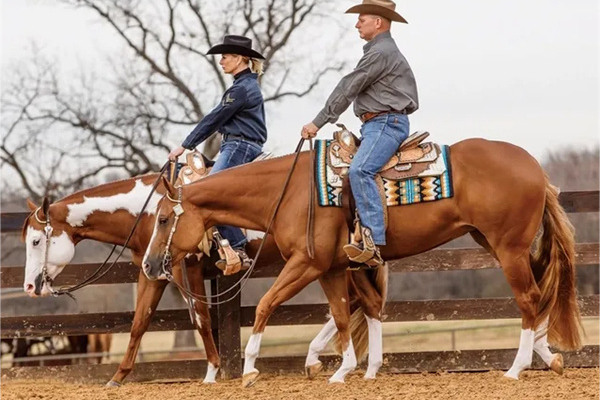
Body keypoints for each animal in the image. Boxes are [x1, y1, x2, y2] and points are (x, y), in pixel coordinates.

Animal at [21, 175, 386, 384]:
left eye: (36, 241)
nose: (30, 286)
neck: (148, 211)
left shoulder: (187, 268)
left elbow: (199, 318)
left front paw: (212, 372)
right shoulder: (152, 272)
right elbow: (139, 322)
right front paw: (118, 377)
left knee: (355, 303)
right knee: (361, 302)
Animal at [143, 138, 584, 388]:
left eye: (163, 219)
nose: (149, 265)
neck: (290, 192)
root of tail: (535, 167)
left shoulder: (306, 263)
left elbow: (268, 303)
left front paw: (251, 368)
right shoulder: (333, 268)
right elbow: (342, 313)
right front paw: (347, 369)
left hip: (508, 249)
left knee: (529, 298)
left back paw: (517, 367)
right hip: (497, 244)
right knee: (539, 294)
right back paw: (549, 357)